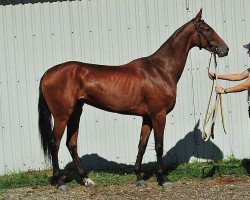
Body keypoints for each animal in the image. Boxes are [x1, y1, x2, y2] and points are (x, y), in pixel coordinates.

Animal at [38, 9, 228, 190]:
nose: (225, 49)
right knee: (55, 144)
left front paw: (139, 177)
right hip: (62, 116)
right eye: (207, 29)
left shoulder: (147, 117)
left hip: (76, 113)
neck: (160, 70)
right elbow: (159, 146)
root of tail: (47, 73)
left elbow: (142, 145)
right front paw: (163, 179)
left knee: (71, 144)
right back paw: (60, 182)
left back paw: (86, 180)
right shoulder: (159, 115)